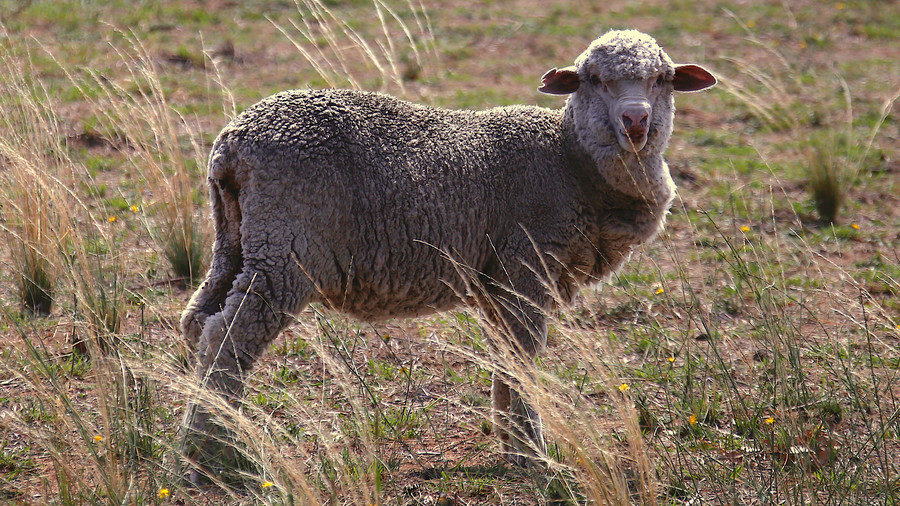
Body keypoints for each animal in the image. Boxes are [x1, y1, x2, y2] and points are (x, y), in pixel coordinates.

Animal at [180, 29, 716, 471]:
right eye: (593, 79)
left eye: (664, 79)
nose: (636, 121)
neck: (571, 160)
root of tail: (233, 143)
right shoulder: (526, 265)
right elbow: (523, 359)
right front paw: (534, 454)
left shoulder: (496, 281)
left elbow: (505, 359)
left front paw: (512, 444)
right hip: (286, 249)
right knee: (229, 336)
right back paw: (212, 452)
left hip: (236, 237)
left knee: (198, 320)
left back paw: (199, 425)